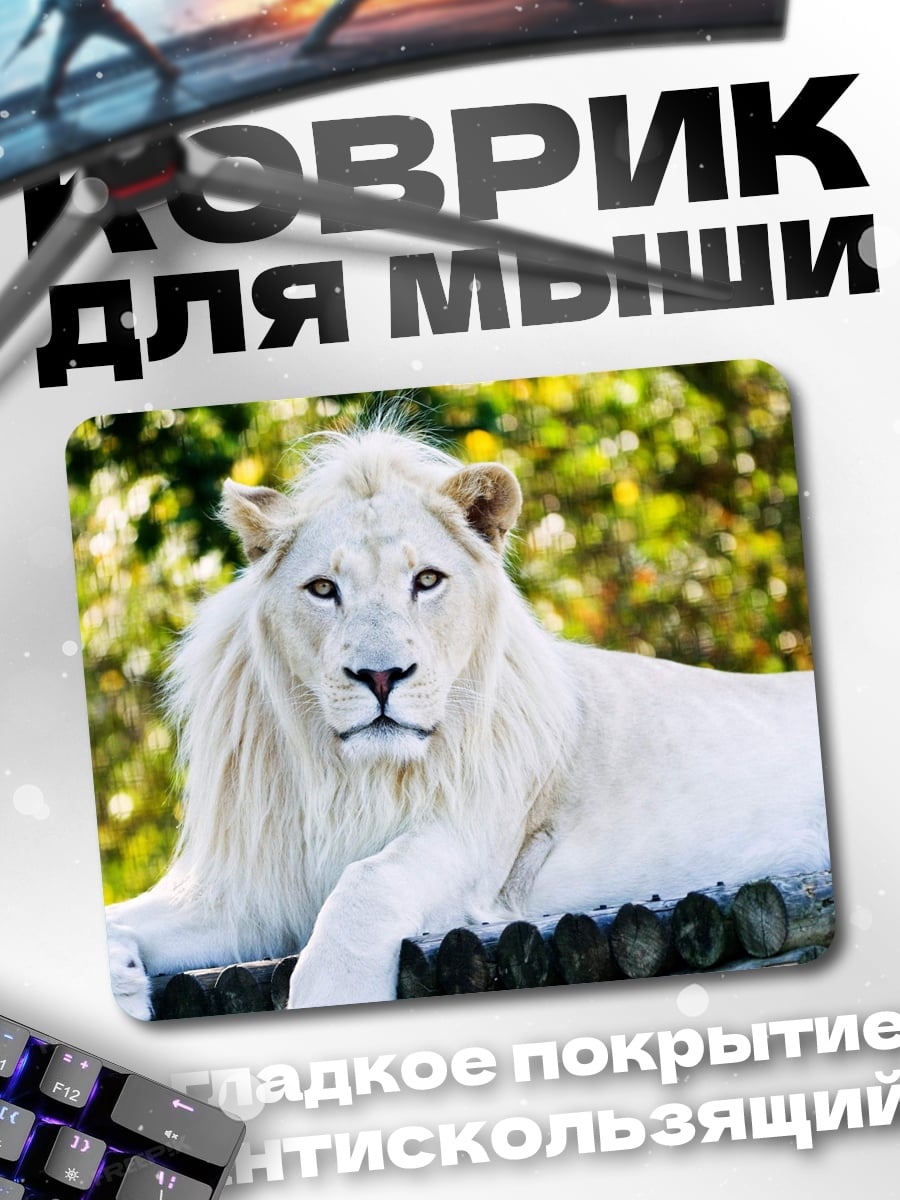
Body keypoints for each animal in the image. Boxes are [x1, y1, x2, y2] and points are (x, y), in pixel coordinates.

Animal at [106, 427, 829, 1018]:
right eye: (323, 589)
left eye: (427, 580)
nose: (380, 676)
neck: (351, 777)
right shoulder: (247, 890)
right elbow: (113, 916)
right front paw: (119, 979)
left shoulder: (476, 841)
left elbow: (368, 881)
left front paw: (330, 994)